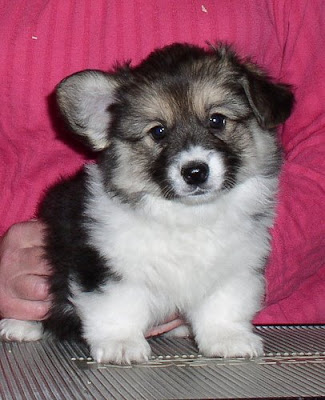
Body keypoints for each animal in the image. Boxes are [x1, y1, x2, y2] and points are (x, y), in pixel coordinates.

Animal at [0, 42, 294, 364]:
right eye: (158, 131)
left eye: (217, 120)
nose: (195, 172)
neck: (190, 216)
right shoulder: (106, 267)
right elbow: (118, 308)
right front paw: (121, 345)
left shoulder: (235, 268)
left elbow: (223, 307)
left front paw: (228, 339)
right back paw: (19, 325)